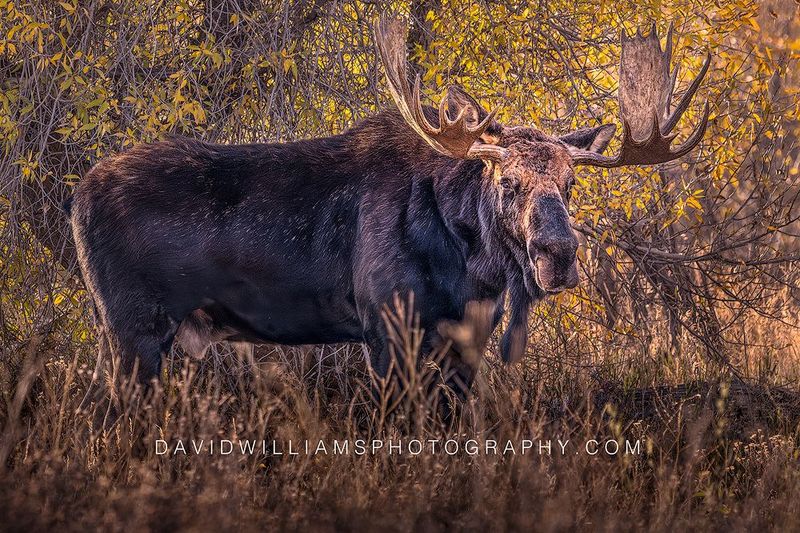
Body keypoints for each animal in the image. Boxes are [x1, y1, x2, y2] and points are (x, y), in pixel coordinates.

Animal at [68, 17, 710, 400]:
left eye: (571, 183)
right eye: (507, 182)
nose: (560, 254)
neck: (470, 268)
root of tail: (77, 196)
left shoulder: (466, 343)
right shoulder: (385, 330)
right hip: (131, 330)